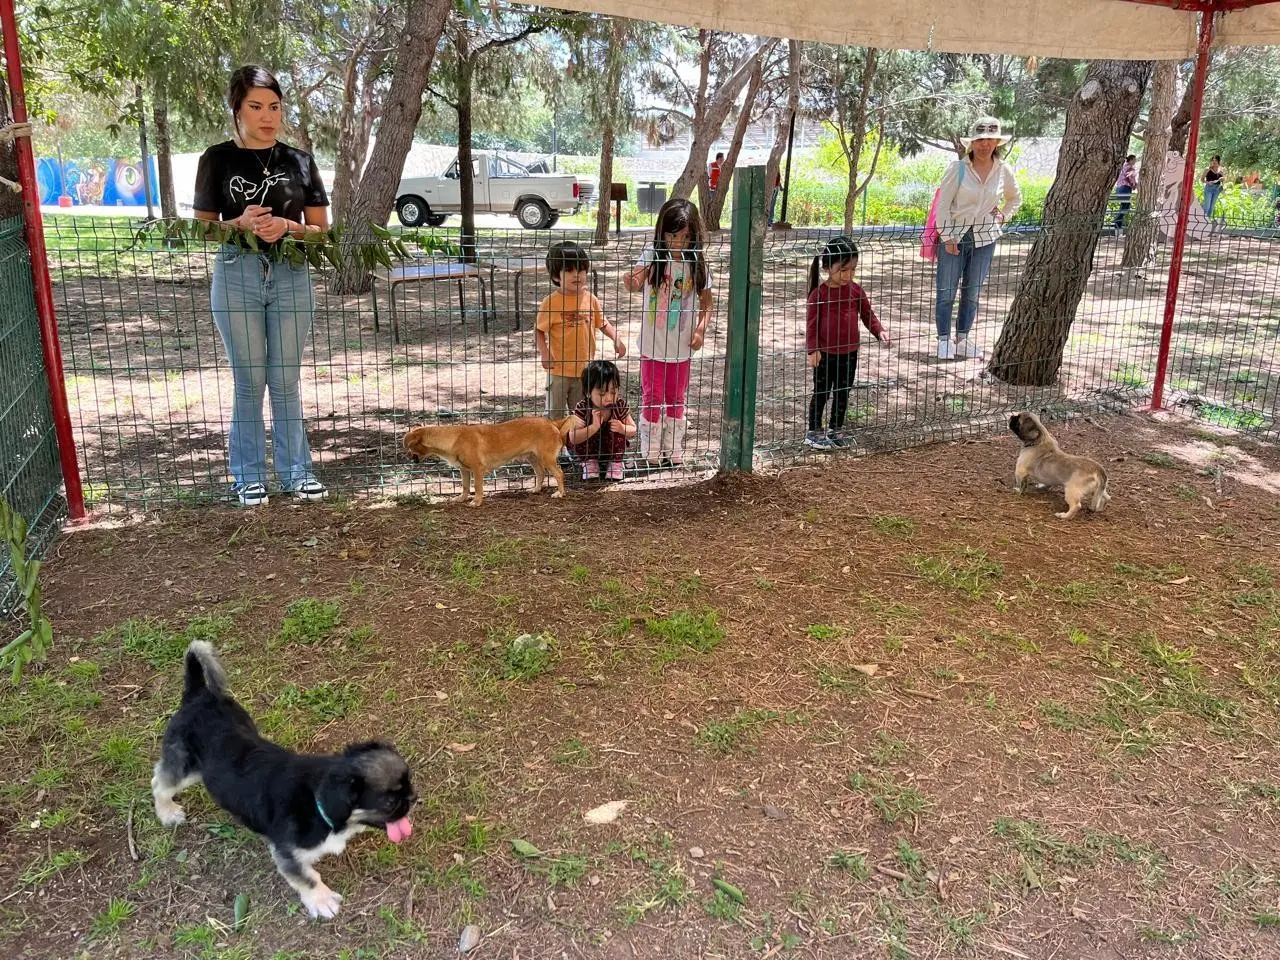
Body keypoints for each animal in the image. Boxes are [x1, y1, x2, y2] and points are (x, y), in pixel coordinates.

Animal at [152, 642, 417, 921]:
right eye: (389, 802)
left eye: (410, 783)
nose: (414, 798)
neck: (317, 801)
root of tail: (198, 694)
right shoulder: (287, 853)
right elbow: (308, 878)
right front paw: (322, 900)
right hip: (186, 768)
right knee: (160, 783)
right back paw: (167, 813)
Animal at [404, 419, 576, 512]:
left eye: (409, 448)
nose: (407, 459)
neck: (453, 438)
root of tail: (552, 423)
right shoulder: (464, 470)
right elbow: (465, 486)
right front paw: (462, 498)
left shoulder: (477, 470)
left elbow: (477, 487)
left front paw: (477, 502)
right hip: (532, 458)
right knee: (540, 473)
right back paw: (536, 489)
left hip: (547, 459)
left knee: (559, 474)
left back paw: (560, 493)